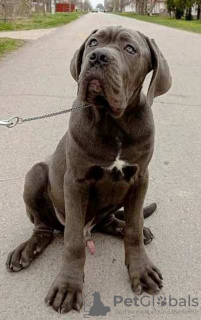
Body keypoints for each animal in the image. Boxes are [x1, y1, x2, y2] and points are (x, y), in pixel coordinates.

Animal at [5, 26, 171, 314]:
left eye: (130, 49)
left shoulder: (140, 178)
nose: (98, 56)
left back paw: (124, 226)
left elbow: (134, 228)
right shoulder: (75, 182)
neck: (113, 121)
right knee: (44, 229)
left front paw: (141, 269)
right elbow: (72, 242)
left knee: (111, 221)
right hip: (35, 174)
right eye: (93, 42)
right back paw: (26, 250)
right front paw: (68, 287)